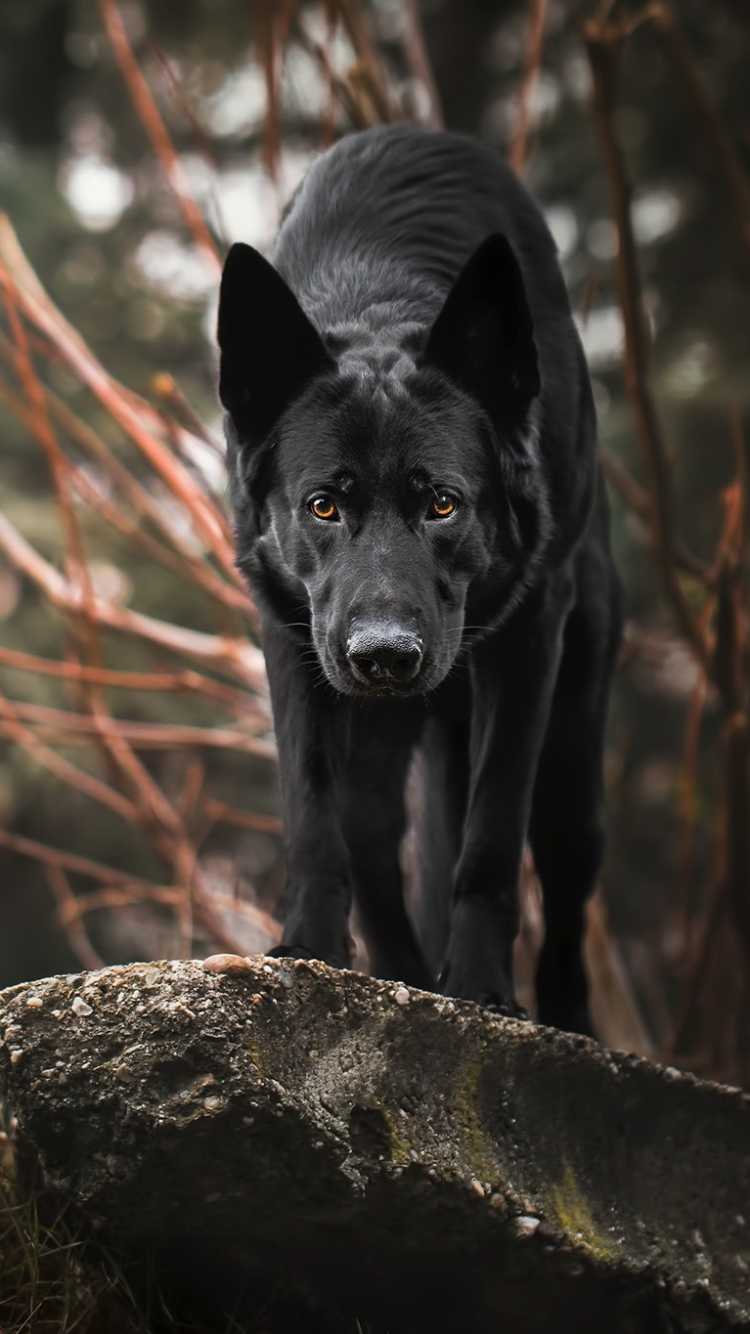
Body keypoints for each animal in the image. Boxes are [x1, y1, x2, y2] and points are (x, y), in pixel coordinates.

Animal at [216, 125, 619, 1029]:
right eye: (323, 506)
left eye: (442, 504)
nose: (384, 656)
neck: (380, 295)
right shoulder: (291, 630)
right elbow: (313, 812)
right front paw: (309, 952)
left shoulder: (529, 638)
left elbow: (492, 833)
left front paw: (481, 988)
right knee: (369, 833)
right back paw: (400, 974)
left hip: (574, 743)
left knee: (564, 877)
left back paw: (563, 1018)